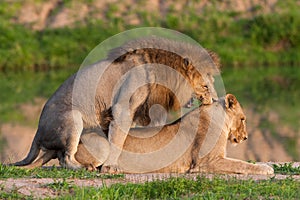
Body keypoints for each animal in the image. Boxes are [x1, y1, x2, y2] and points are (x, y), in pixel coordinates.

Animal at [11, 36, 220, 172]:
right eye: (206, 86)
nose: (216, 100)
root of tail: (37, 133)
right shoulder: (123, 109)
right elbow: (117, 140)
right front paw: (110, 166)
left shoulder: (141, 112)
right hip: (73, 118)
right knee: (66, 159)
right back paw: (83, 168)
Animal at [20, 94, 274, 175]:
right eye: (243, 119)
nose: (245, 138)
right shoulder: (206, 162)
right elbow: (243, 164)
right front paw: (266, 169)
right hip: (99, 146)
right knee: (67, 159)